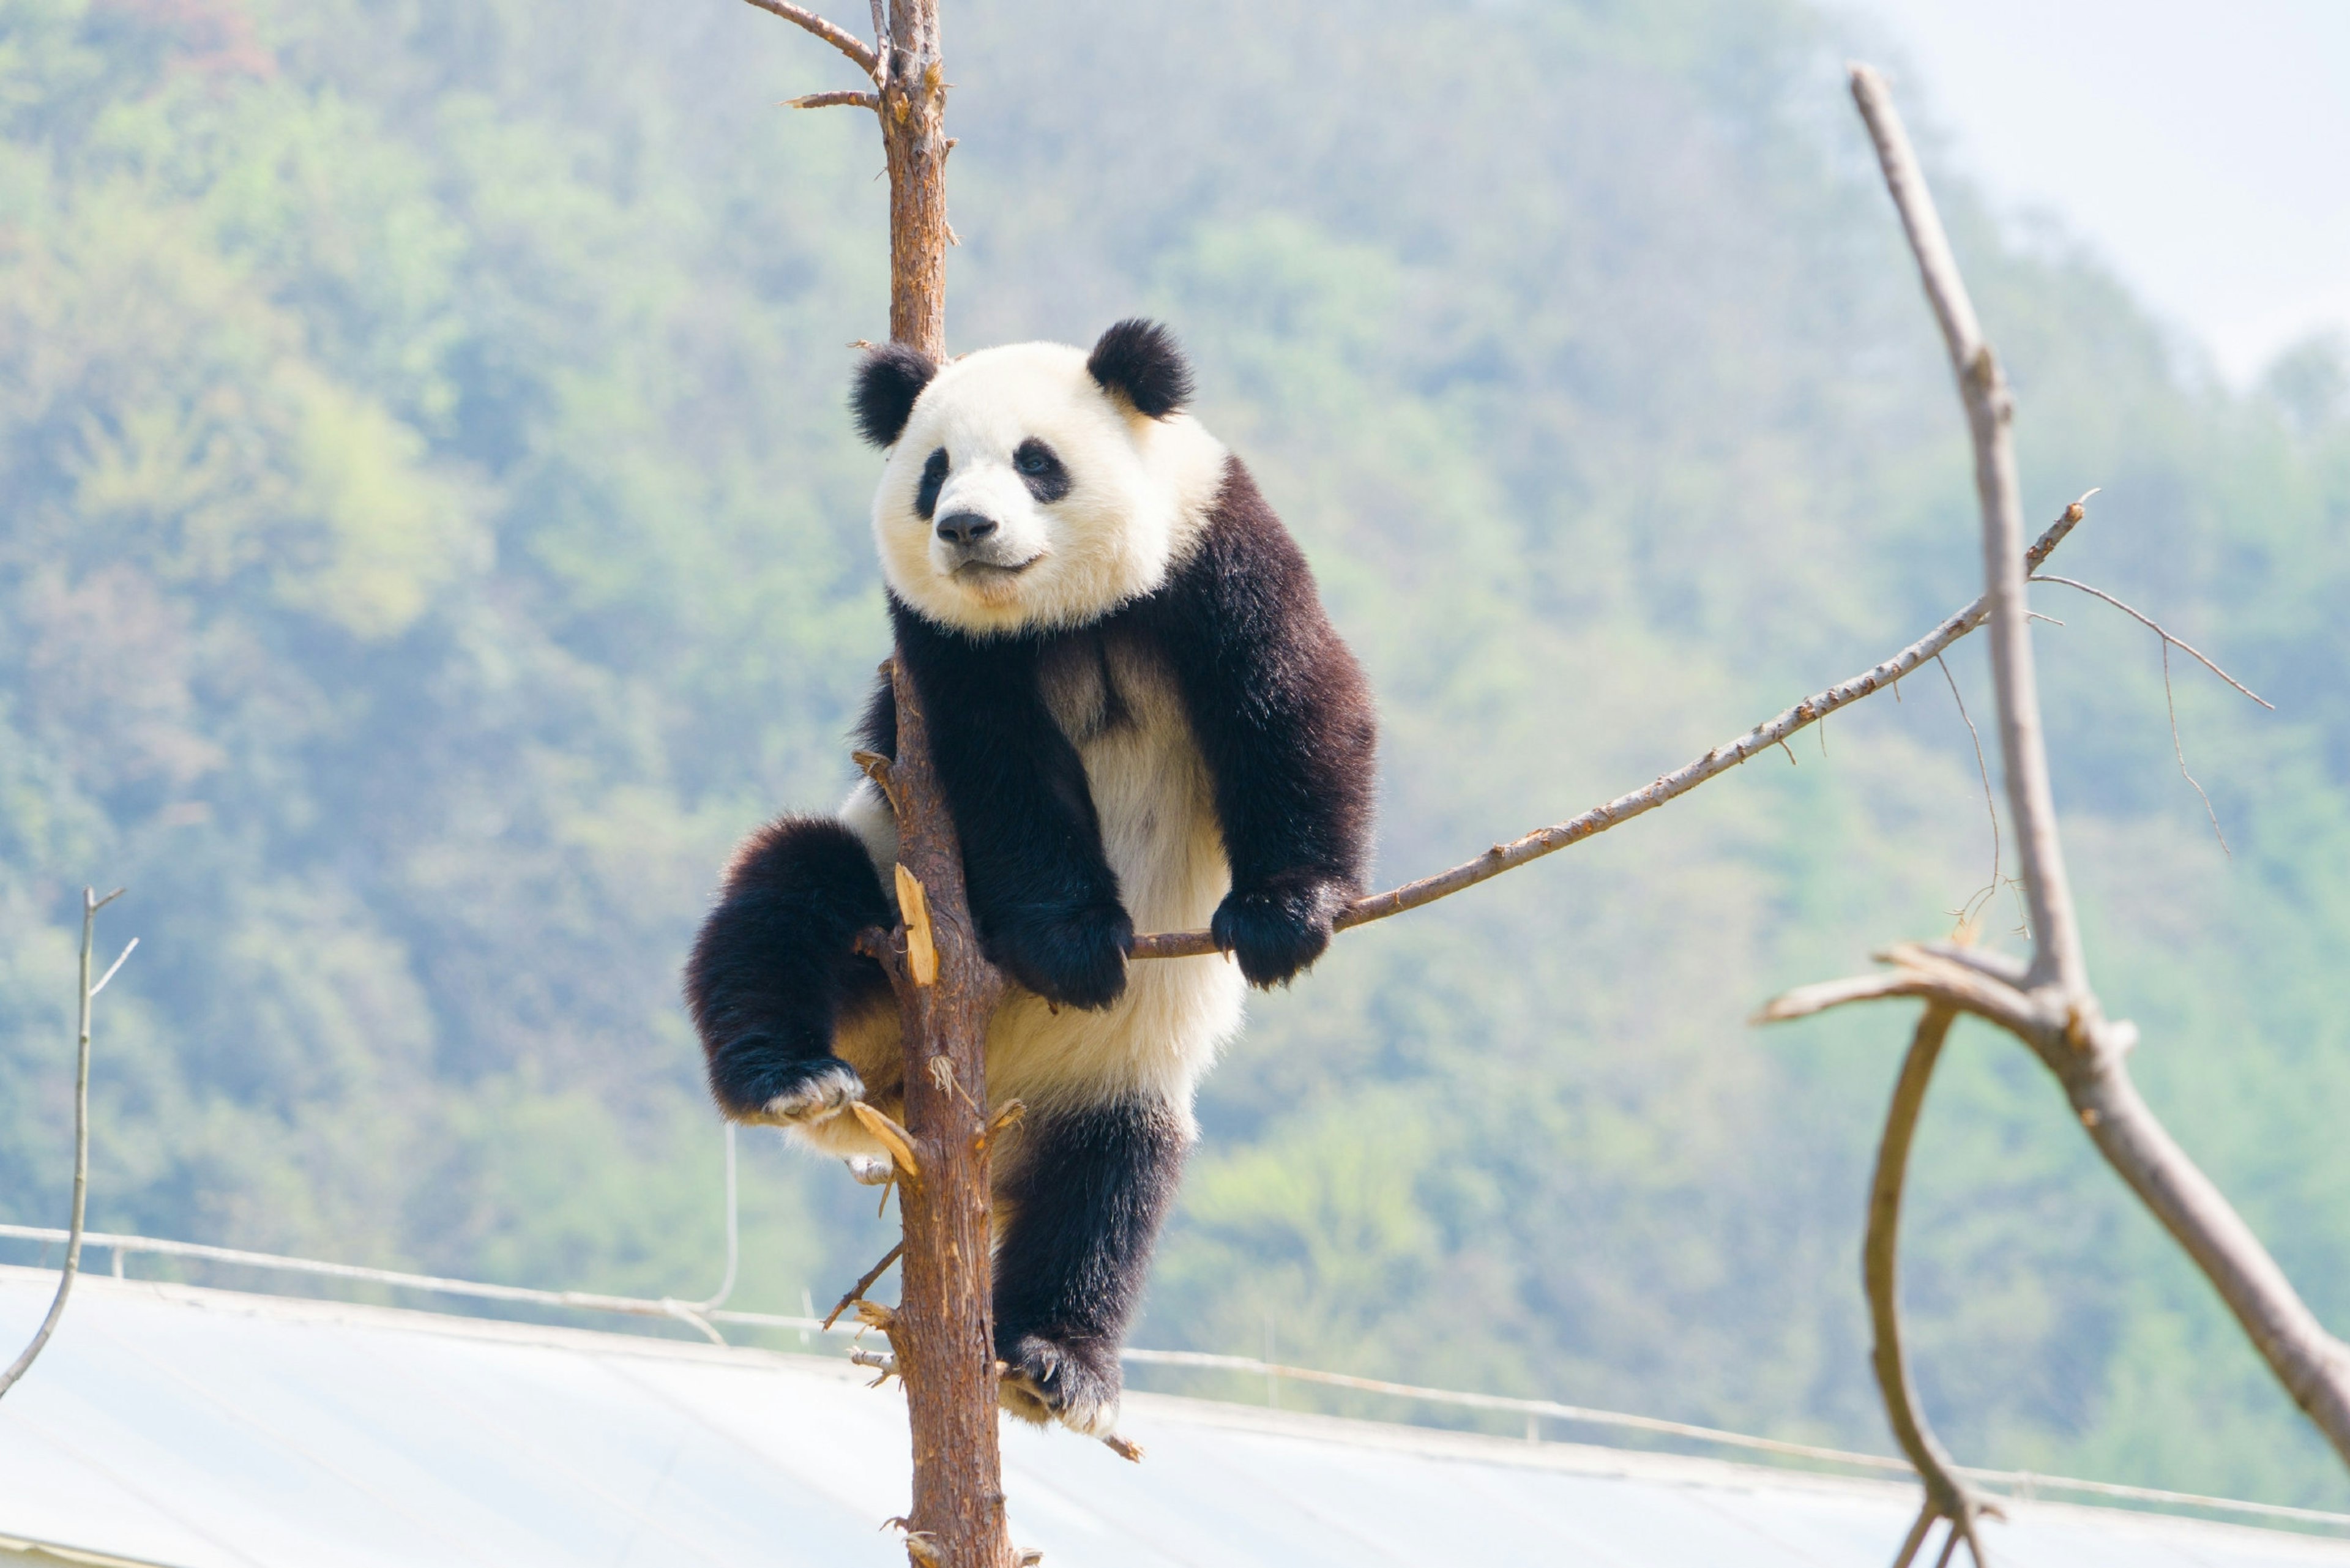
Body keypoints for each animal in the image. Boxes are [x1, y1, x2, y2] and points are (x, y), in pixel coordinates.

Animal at [681, 319, 1372, 1438]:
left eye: (1037, 461)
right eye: (933, 473)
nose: (967, 527)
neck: (1065, 615)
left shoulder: (1216, 552)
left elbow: (1291, 699)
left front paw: (1285, 915)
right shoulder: (942, 653)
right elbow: (995, 776)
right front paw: (1073, 943)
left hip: (1113, 1075)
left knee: (1112, 1182)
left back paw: (1050, 1361)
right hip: (886, 909)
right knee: (788, 891)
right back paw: (786, 1076)